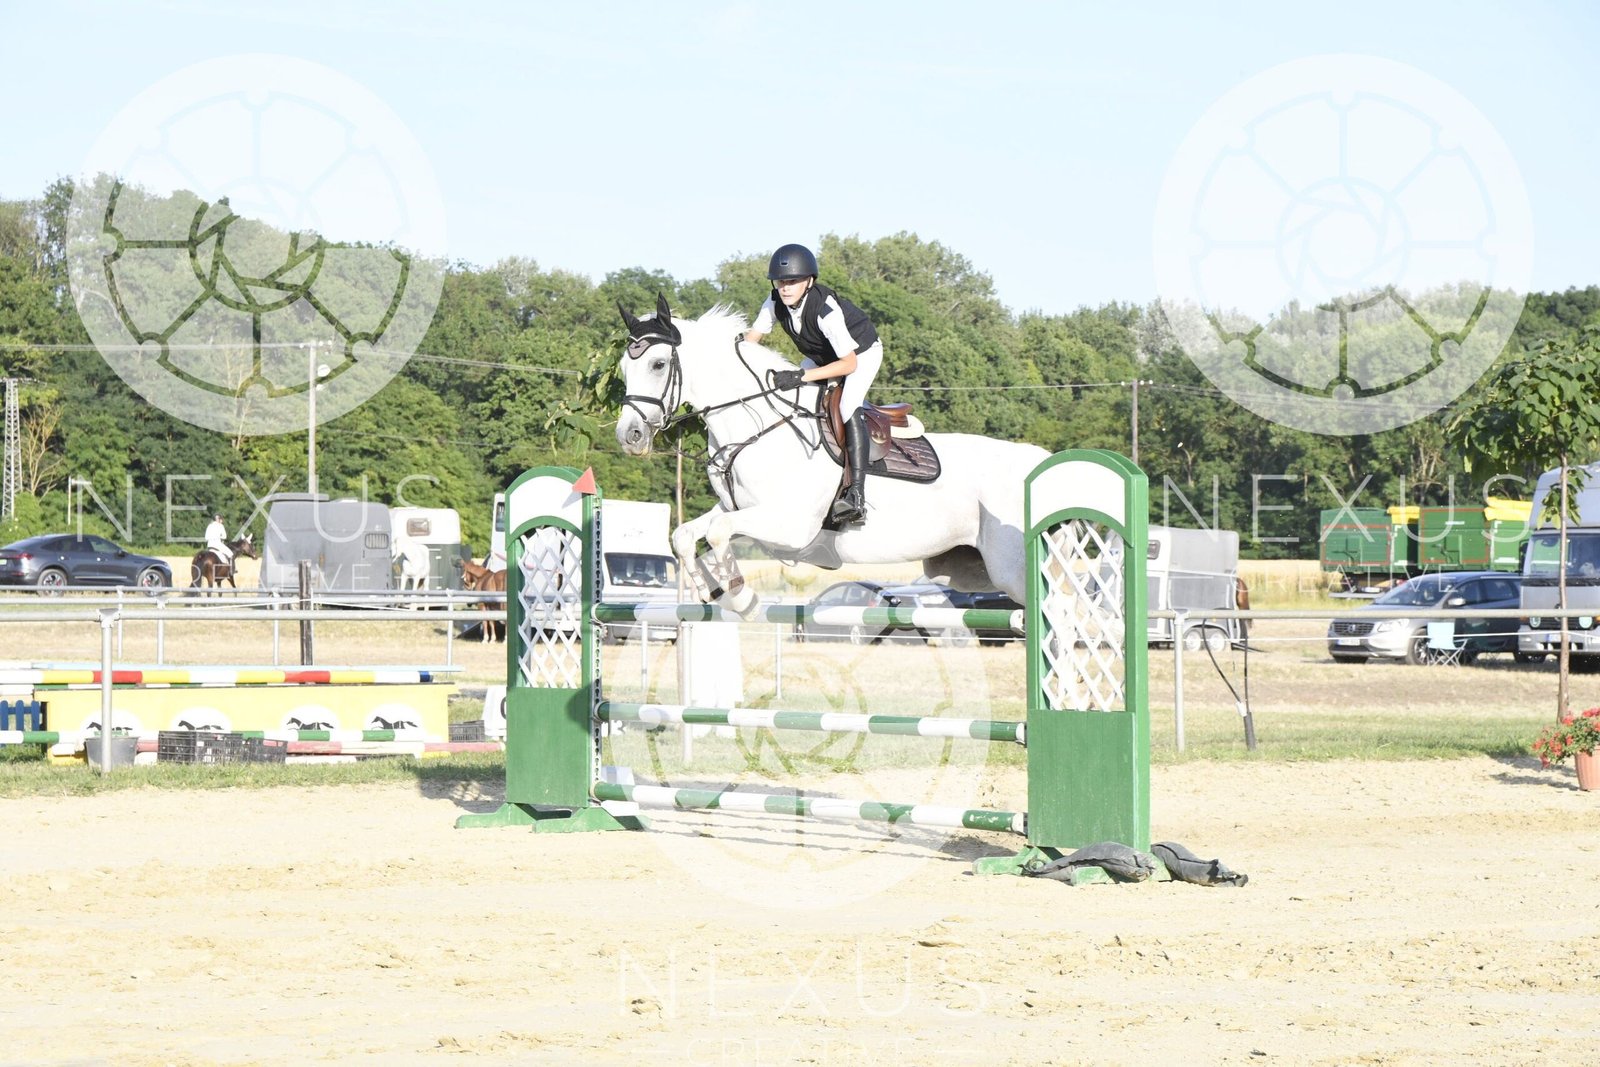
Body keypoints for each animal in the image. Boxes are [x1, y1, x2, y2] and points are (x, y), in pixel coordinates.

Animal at [615, 295, 1048, 614]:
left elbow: (720, 533)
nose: (629, 435)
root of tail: (1038, 463)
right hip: (962, 570)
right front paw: (715, 594)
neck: (758, 426)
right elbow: (685, 535)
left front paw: (742, 598)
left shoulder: (791, 525)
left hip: (1010, 568)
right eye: (624, 366)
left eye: (658, 364)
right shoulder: (738, 508)